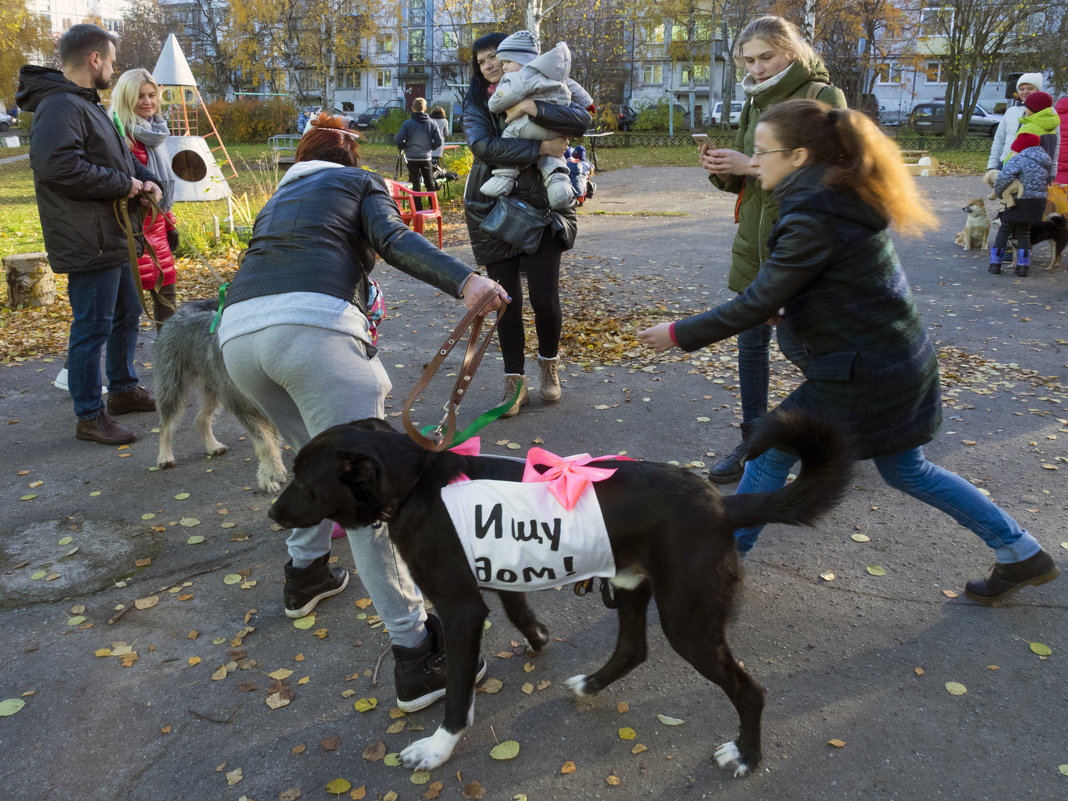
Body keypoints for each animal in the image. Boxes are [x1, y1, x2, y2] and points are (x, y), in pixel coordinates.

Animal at [271, 414, 854, 777]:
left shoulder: (459, 611)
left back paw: (747, 756)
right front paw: (537, 636)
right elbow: (517, 608)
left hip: (687, 618)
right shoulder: (495, 577)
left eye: (305, 482)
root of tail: (720, 505)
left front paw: (439, 747)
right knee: (632, 649)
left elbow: (458, 691)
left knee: (749, 690)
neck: (417, 482)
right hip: (632, 587)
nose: (274, 512)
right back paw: (592, 683)